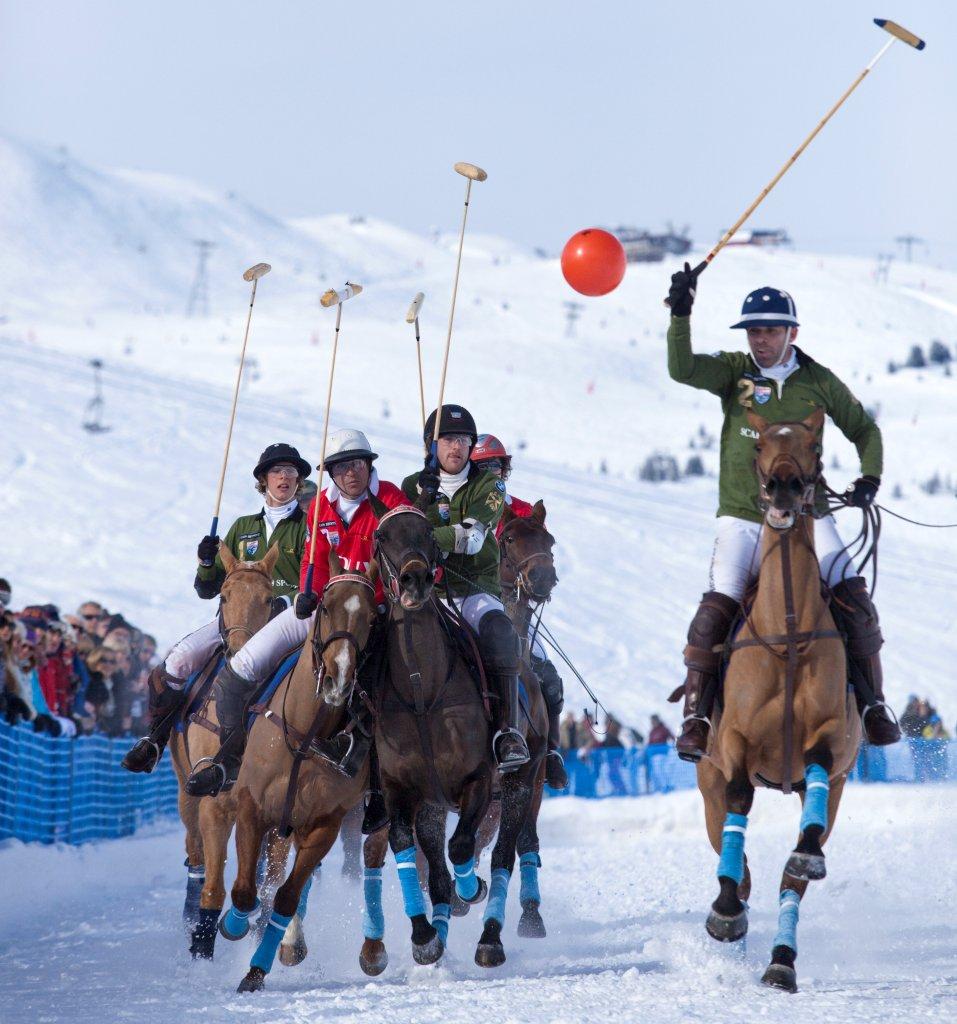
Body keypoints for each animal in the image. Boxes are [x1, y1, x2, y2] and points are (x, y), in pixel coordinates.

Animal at [167, 543, 295, 961]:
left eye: (269, 599)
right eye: (223, 596)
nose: (241, 653)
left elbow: (270, 883)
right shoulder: (215, 803)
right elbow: (214, 884)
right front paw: (202, 947)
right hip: (185, 790)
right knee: (195, 853)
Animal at [217, 552, 379, 993]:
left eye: (373, 616)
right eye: (324, 606)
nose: (339, 676)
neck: (306, 735)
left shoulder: (324, 823)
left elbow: (286, 896)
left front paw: (258, 969)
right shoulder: (251, 806)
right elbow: (244, 891)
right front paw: (234, 926)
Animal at [358, 504, 547, 972]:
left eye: (428, 532)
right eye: (382, 537)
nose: (414, 579)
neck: (421, 689)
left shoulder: (478, 781)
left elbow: (462, 848)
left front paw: (471, 891)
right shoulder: (401, 790)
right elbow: (408, 849)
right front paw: (425, 937)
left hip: (524, 781)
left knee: (503, 854)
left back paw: (491, 936)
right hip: (433, 804)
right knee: (437, 871)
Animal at [695, 408, 861, 993]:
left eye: (816, 446)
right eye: (759, 446)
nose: (784, 487)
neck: (787, 632)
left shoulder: (831, 739)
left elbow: (815, 775)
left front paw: (807, 856)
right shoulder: (733, 745)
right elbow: (740, 799)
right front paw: (725, 913)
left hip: (836, 793)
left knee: (792, 876)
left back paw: (780, 962)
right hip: (706, 782)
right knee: (737, 857)